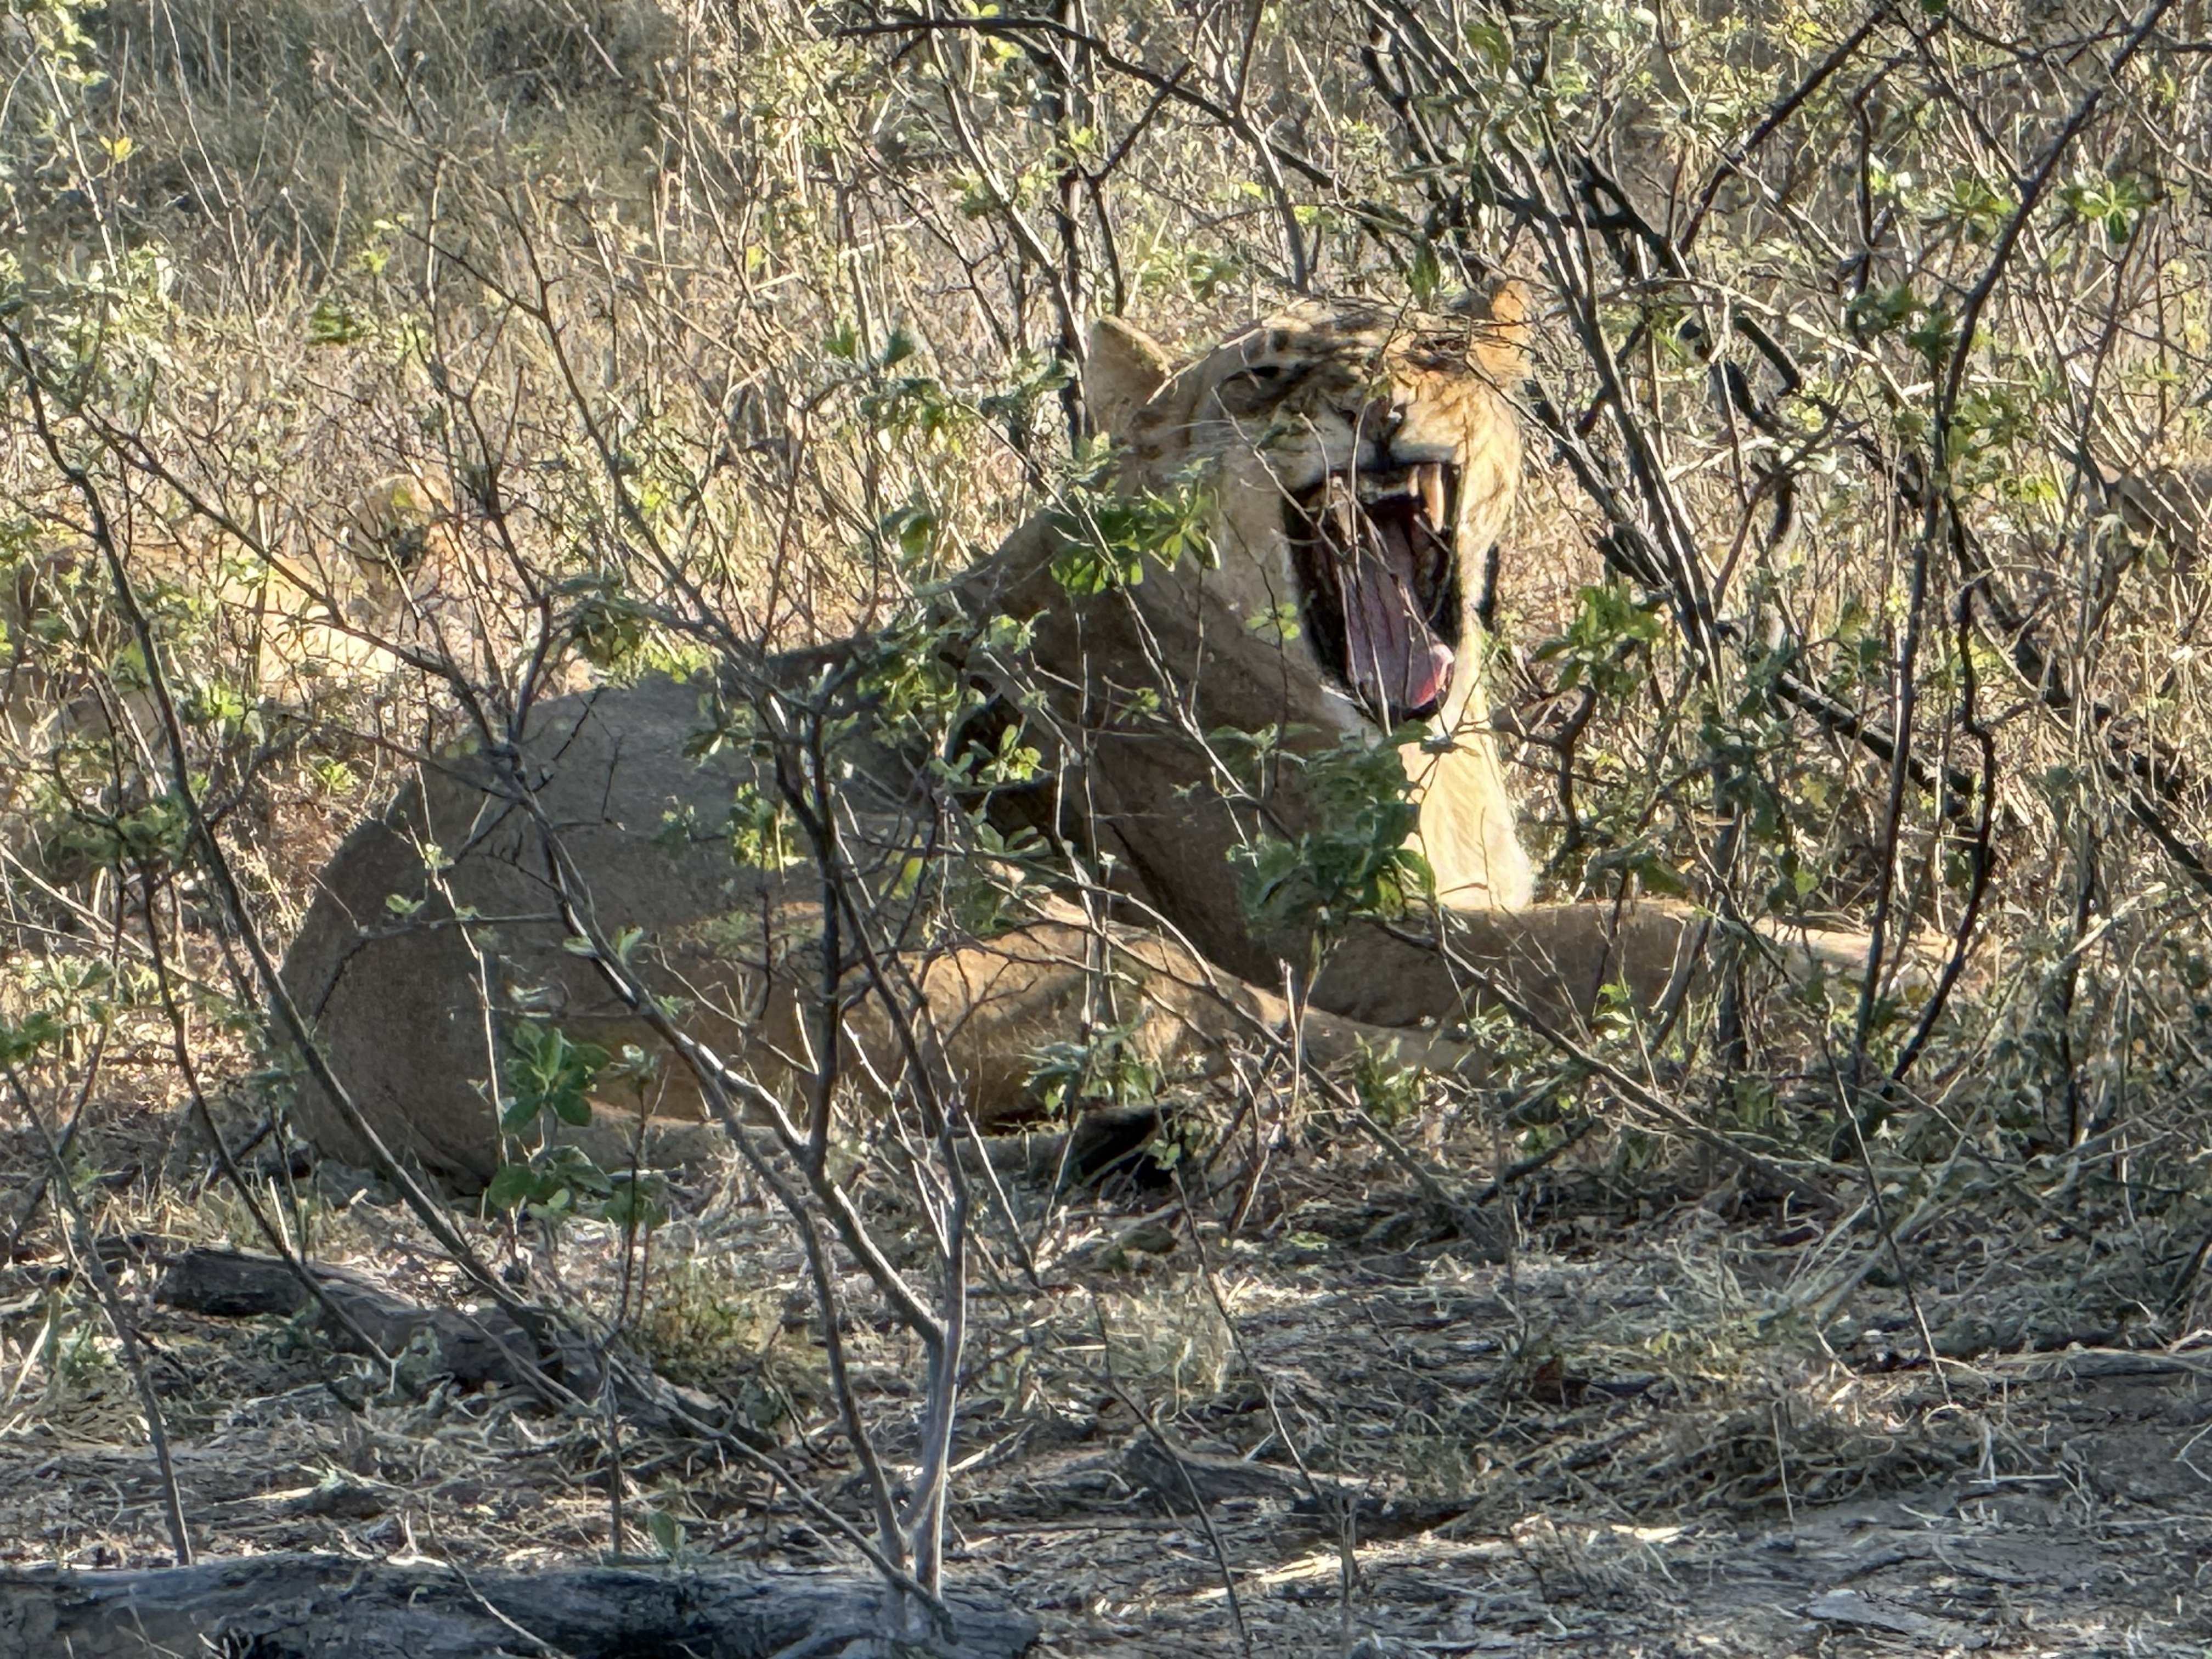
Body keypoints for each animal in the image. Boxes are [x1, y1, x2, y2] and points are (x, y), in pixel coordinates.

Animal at [280, 287, 1863, 1185]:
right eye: (1268, 375)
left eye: (1434, 353)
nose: (1381, 410)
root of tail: (365, 1044)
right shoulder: (1350, 936)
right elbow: (1639, 935)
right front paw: (1880, 959)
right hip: (1011, 920)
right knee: (1306, 1054)